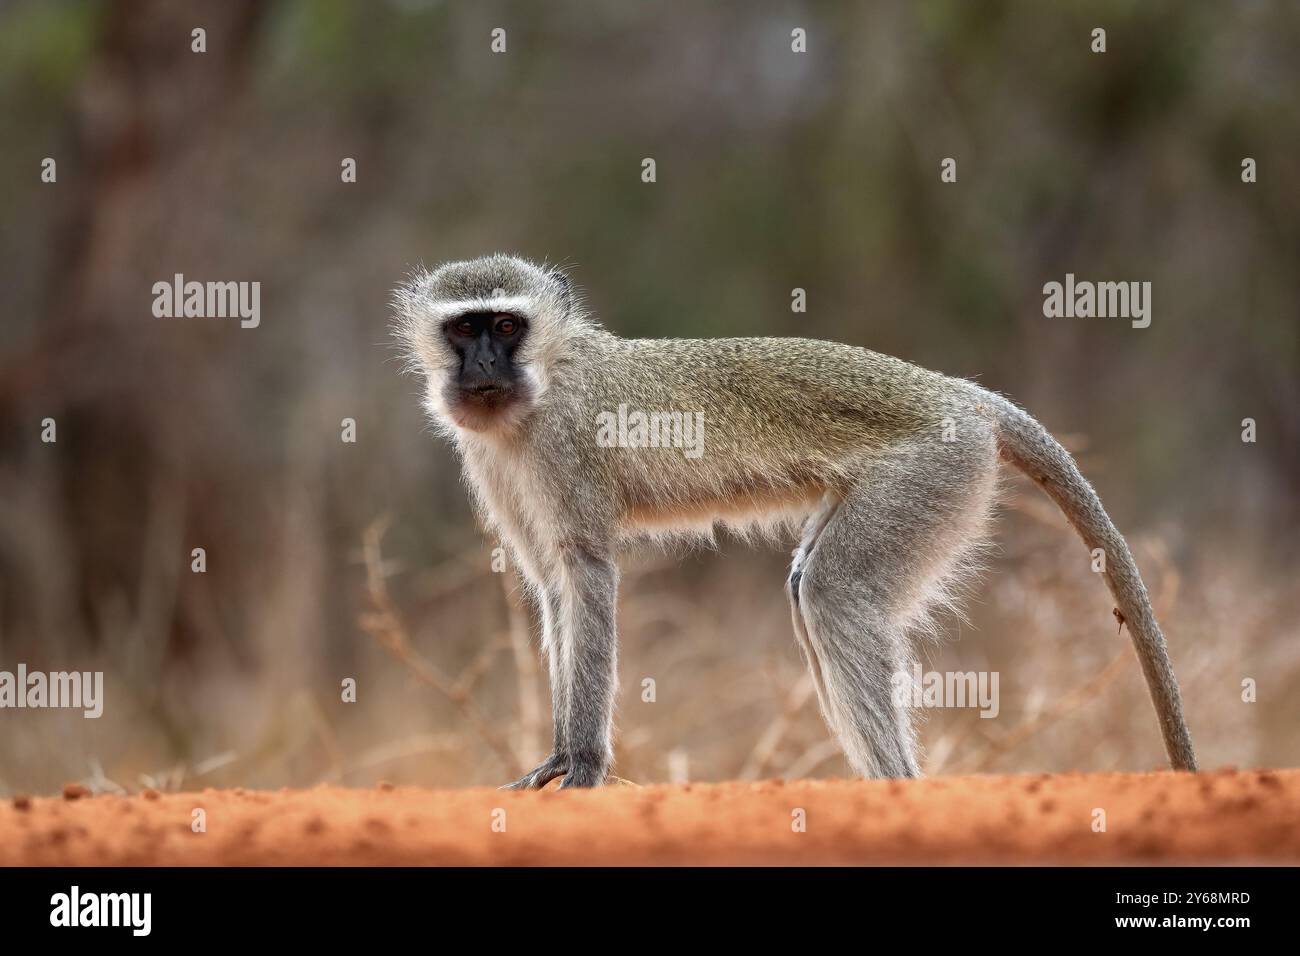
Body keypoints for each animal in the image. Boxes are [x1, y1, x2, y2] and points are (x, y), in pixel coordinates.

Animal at [392, 253, 1197, 788]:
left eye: (505, 325)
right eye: (465, 331)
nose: (483, 366)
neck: (543, 384)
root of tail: (961, 395)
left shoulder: (568, 447)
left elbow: (586, 573)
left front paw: (584, 766)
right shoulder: (495, 463)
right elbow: (554, 586)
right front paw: (560, 754)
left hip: (932, 472)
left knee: (832, 593)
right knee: (809, 585)